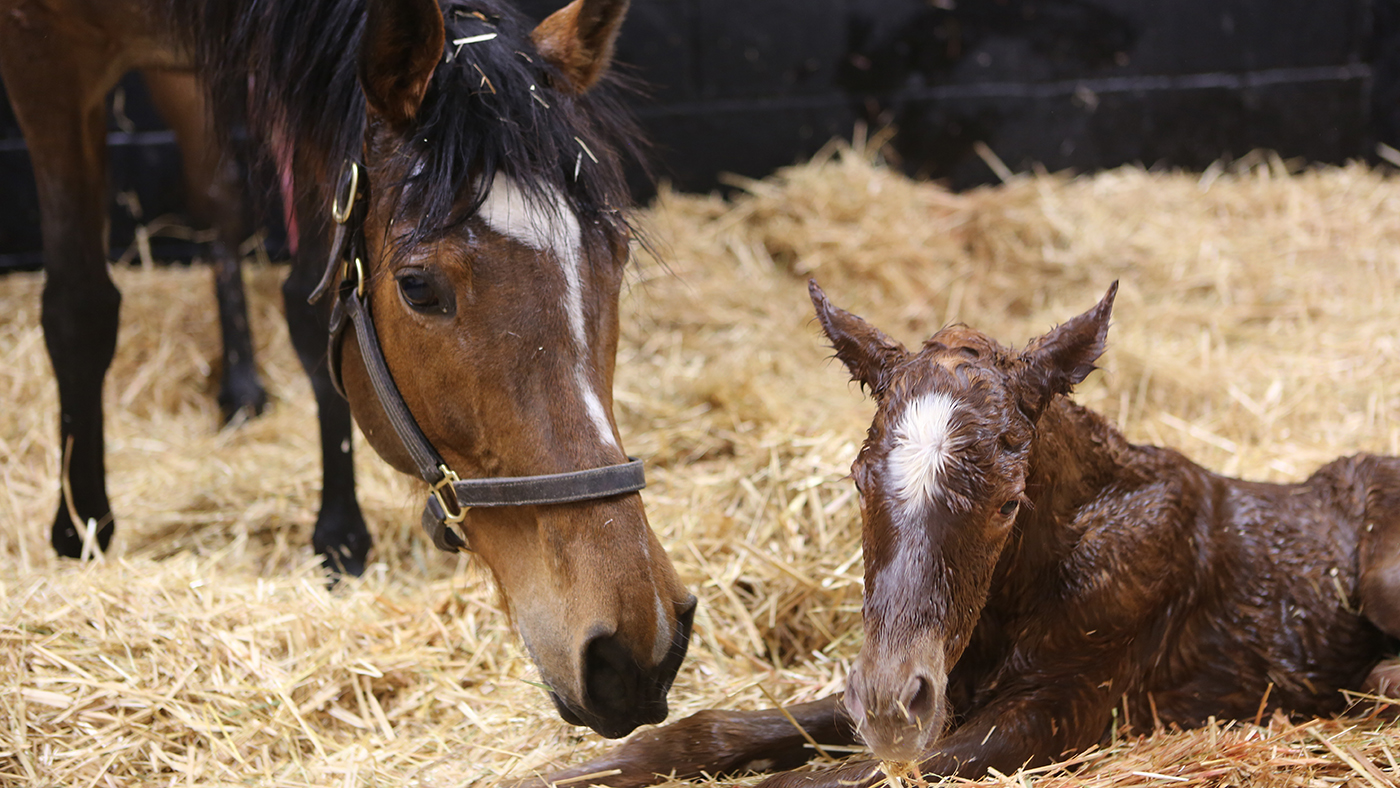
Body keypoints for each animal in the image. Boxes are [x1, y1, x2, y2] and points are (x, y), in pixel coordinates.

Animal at [0, 0, 695, 739]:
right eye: (418, 288)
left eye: (617, 253)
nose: (639, 643)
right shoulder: (44, 61)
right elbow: (79, 308)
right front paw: (82, 529)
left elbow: (312, 305)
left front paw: (338, 533)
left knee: (220, 194)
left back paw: (240, 383)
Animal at [520, 280, 1400, 786]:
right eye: (857, 479)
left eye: (1009, 503)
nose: (889, 705)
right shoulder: (944, 689)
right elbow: (709, 733)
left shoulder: (1056, 710)